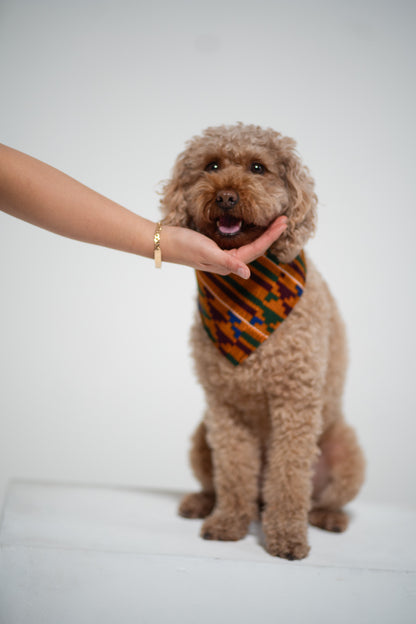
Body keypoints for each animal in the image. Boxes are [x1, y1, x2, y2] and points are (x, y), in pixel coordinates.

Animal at [161, 123, 366, 560]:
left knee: (323, 496)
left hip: (346, 451)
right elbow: (234, 471)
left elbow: (288, 477)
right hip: (200, 438)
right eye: (212, 165)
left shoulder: (295, 401)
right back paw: (203, 503)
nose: (225, 196)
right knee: (218, 482)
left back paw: (328, 517)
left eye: (258, 167)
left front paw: (287, 536)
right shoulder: (226, 406)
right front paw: (227, 523)